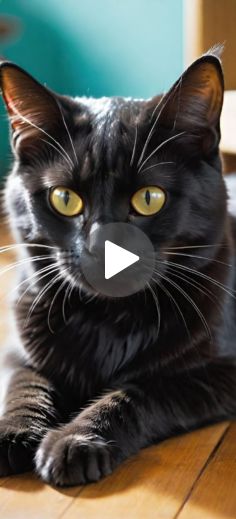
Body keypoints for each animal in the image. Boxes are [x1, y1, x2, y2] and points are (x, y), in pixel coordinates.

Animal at [0, 47, 236, 488]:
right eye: (64, 198)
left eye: (149, 198)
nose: (101, 248)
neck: (106, 319)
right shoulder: (15, 347)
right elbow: (26, 382)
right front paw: (13, 431)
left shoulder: (221, 371)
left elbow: (141, 391)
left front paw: (76, 440)